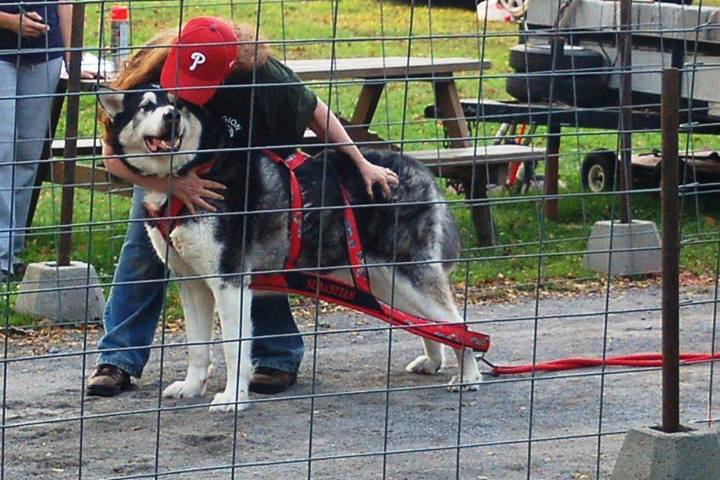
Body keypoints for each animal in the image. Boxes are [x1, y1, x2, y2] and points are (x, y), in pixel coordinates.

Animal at [98, 85, 480, 412]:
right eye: (147, 106)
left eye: (178, 105)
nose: (172, 117)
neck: (195, 172)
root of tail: (419, 169)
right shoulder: (191, 283)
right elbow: (197, 348)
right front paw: (192, 387)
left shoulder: (229, 282)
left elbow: (234, 349)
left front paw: (233, 398)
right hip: (388, 282)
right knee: (430, 324)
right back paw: (433, 361)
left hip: (408, 275)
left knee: (459, 324)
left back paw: (469, 376)